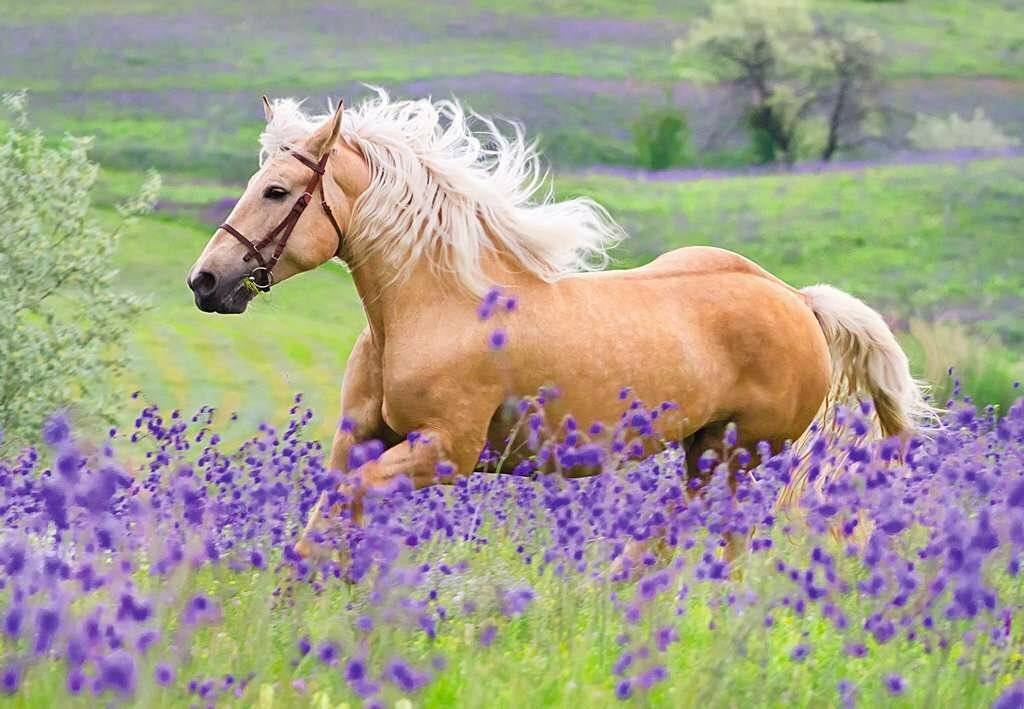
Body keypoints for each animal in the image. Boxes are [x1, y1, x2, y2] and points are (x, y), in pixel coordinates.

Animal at [186, 89, 934, 561]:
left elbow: (347, 508)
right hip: (705, 449)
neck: (435, 306)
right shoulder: (363, 440)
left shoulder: (444, 452)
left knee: (714, 534)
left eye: (277, 191)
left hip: (741, 453)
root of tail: (795, 299)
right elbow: (325, 519)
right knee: (697, 531)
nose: (206, 281)